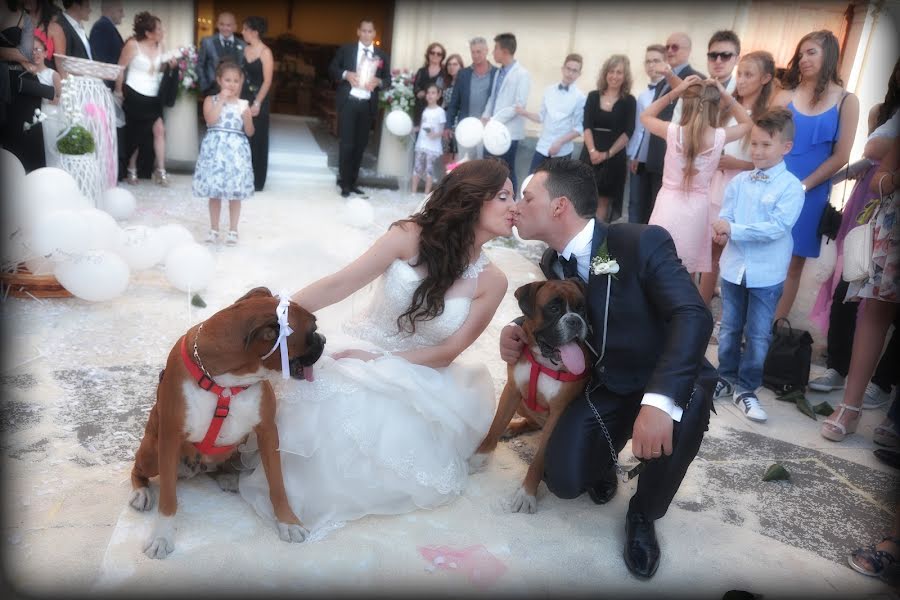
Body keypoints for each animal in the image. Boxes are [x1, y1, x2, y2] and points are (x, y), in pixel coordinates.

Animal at [126, 286, 324, 556]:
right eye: (312, 331)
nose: (323, 340)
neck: (226, 382)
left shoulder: (267, 432)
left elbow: (277, 484)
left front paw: (288, 522)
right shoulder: (169, 438)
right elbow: (168, 496)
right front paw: (161, 536)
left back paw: (228, 476)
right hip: (151, 452)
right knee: (137, 470)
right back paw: (142, 493)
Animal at [472, 278, 592, 512]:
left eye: (581, 308)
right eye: (553, 308)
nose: (575, 320)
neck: (543, 362)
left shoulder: (557, 413)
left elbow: (538, 461)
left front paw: (526, 494)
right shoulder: (512, 390)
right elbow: (495, 426)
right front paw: (480, 456)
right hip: (521, 402)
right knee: (531, 421)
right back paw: (512, 427)